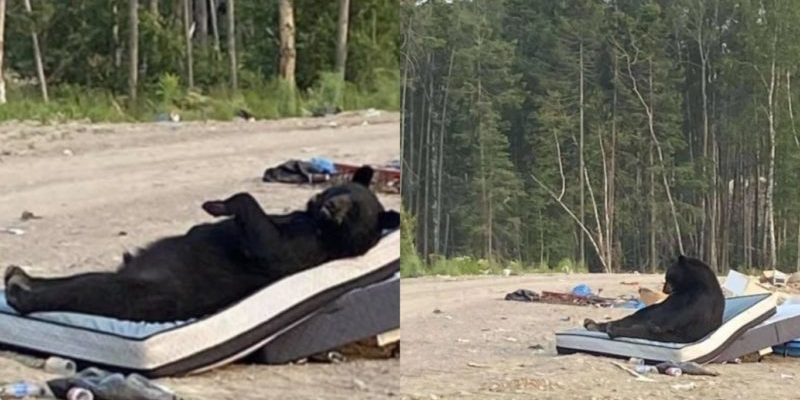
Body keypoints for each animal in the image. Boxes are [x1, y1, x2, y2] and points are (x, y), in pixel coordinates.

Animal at [1, 166, 398, 322]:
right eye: (341, 190)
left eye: (353, 212)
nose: (329, 205)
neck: (319, 228)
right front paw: (202, 221)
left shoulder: (299, 250)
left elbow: (264, 239)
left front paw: (215, 206)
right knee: (81, 279)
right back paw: (20, 275)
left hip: (148, 290)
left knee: (91, 290)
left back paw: (22, 294)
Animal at [580, 255, 724, 342]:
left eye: (668, 277)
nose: (664, 289)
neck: (693, 284)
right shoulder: (675, 299)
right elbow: (658, 310)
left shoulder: (701, 300)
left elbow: (681, 315)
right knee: (632, 319)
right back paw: (593, 324)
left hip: (677, 334)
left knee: (643, 330)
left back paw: (612, 329)